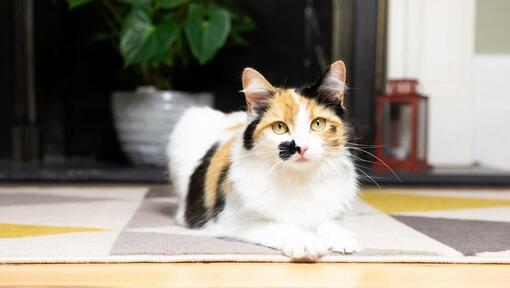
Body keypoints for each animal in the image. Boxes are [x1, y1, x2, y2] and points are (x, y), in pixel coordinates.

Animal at [169, 60, 360, 258]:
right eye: (279, 127)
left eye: (318, 124)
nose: (301, 148)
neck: (299, 179)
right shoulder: (232, 222)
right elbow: (281, 227)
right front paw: (306, 242)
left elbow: (328, 222)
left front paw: (342, 237)